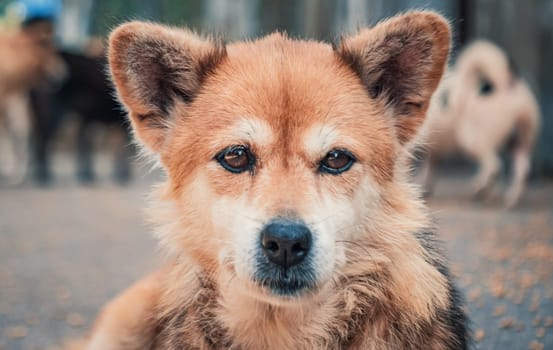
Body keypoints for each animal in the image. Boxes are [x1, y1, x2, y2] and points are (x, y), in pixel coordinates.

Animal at [418, 40, 540, 208]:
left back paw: (480, 189)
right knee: (522, 169)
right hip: (520, 141)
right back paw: (510, 198)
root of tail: (507, 84)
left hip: (472, 138)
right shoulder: (433, 149)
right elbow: (430, 167)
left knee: (494, 166)